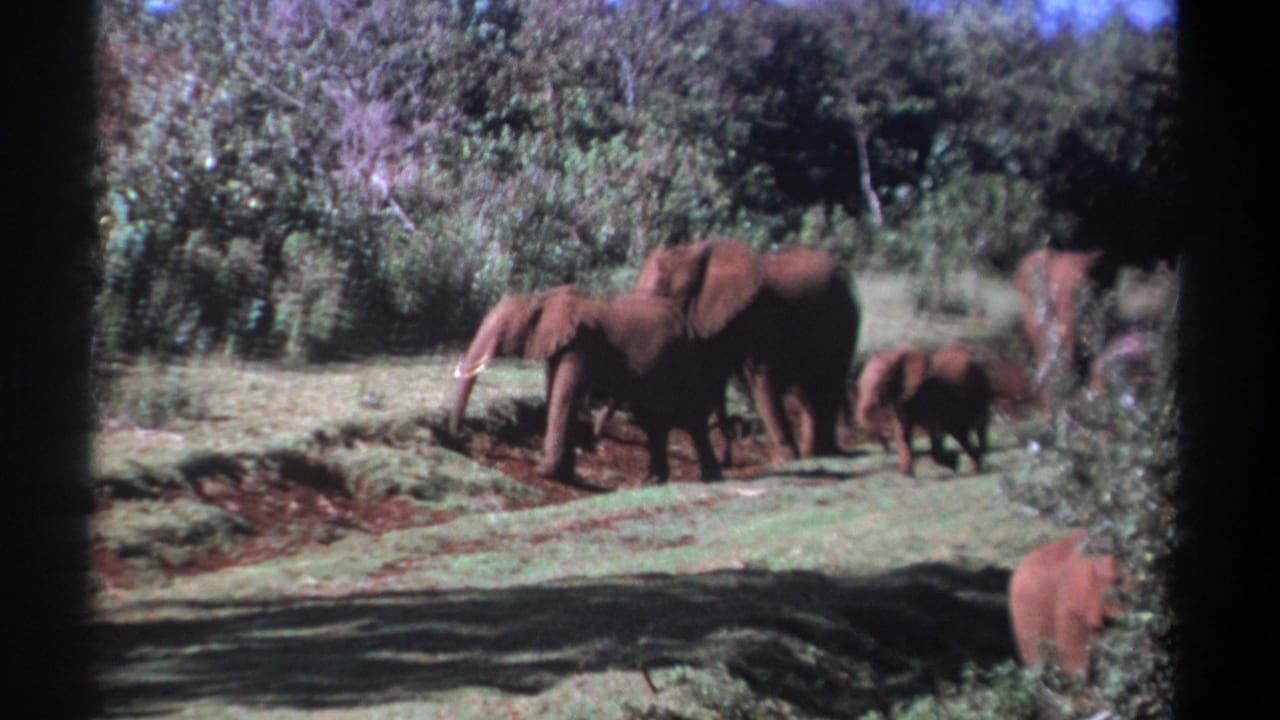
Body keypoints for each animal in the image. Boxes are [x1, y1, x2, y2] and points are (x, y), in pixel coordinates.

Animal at [449, 285, 722, 485]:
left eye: (503, 330)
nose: (461, 436)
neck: (543, 297)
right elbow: (557, 394)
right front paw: (563, 474)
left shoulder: (581, 342)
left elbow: (564, 395)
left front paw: (544, 471)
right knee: (651, 420)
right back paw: (654, 481)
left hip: (683, 355)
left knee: (689, 415)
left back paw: (711, 479)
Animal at [630, 237, 860, 464]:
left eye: (663, 288)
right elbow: (713, 378)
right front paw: (723, 459)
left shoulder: (760, 317)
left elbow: (761, 380)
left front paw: (783, 460)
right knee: (808, 390)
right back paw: (817, 452)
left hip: (845, 319)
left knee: (829, 380)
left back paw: (823, 452)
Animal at [854, 344, 992, 477]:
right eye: (860, 384)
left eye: (885, 382)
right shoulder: (902, 401)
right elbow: (902, 433)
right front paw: (905, 474)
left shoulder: (929, 396)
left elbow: (935, 431)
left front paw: (953, 462)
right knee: (960, 432)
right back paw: (975, 465)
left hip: (980, 390)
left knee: (978, 425)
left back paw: (980, 458)